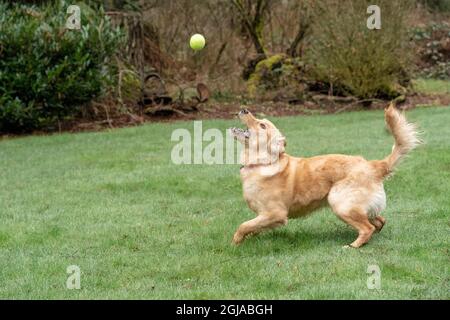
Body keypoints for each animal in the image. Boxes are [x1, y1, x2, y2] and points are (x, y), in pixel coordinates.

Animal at [230, 104, 420, 249]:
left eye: (262, 126)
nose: (244, 109)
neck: (263, 162)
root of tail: (374, 165)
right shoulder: (263, 216)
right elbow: (252, 227)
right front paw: (250, 239)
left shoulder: (275, 213)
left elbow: (243, 225)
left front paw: (235, 243)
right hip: (361, 206)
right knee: (379, 221)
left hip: (340, 202)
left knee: (367, 228)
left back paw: (353, 246)